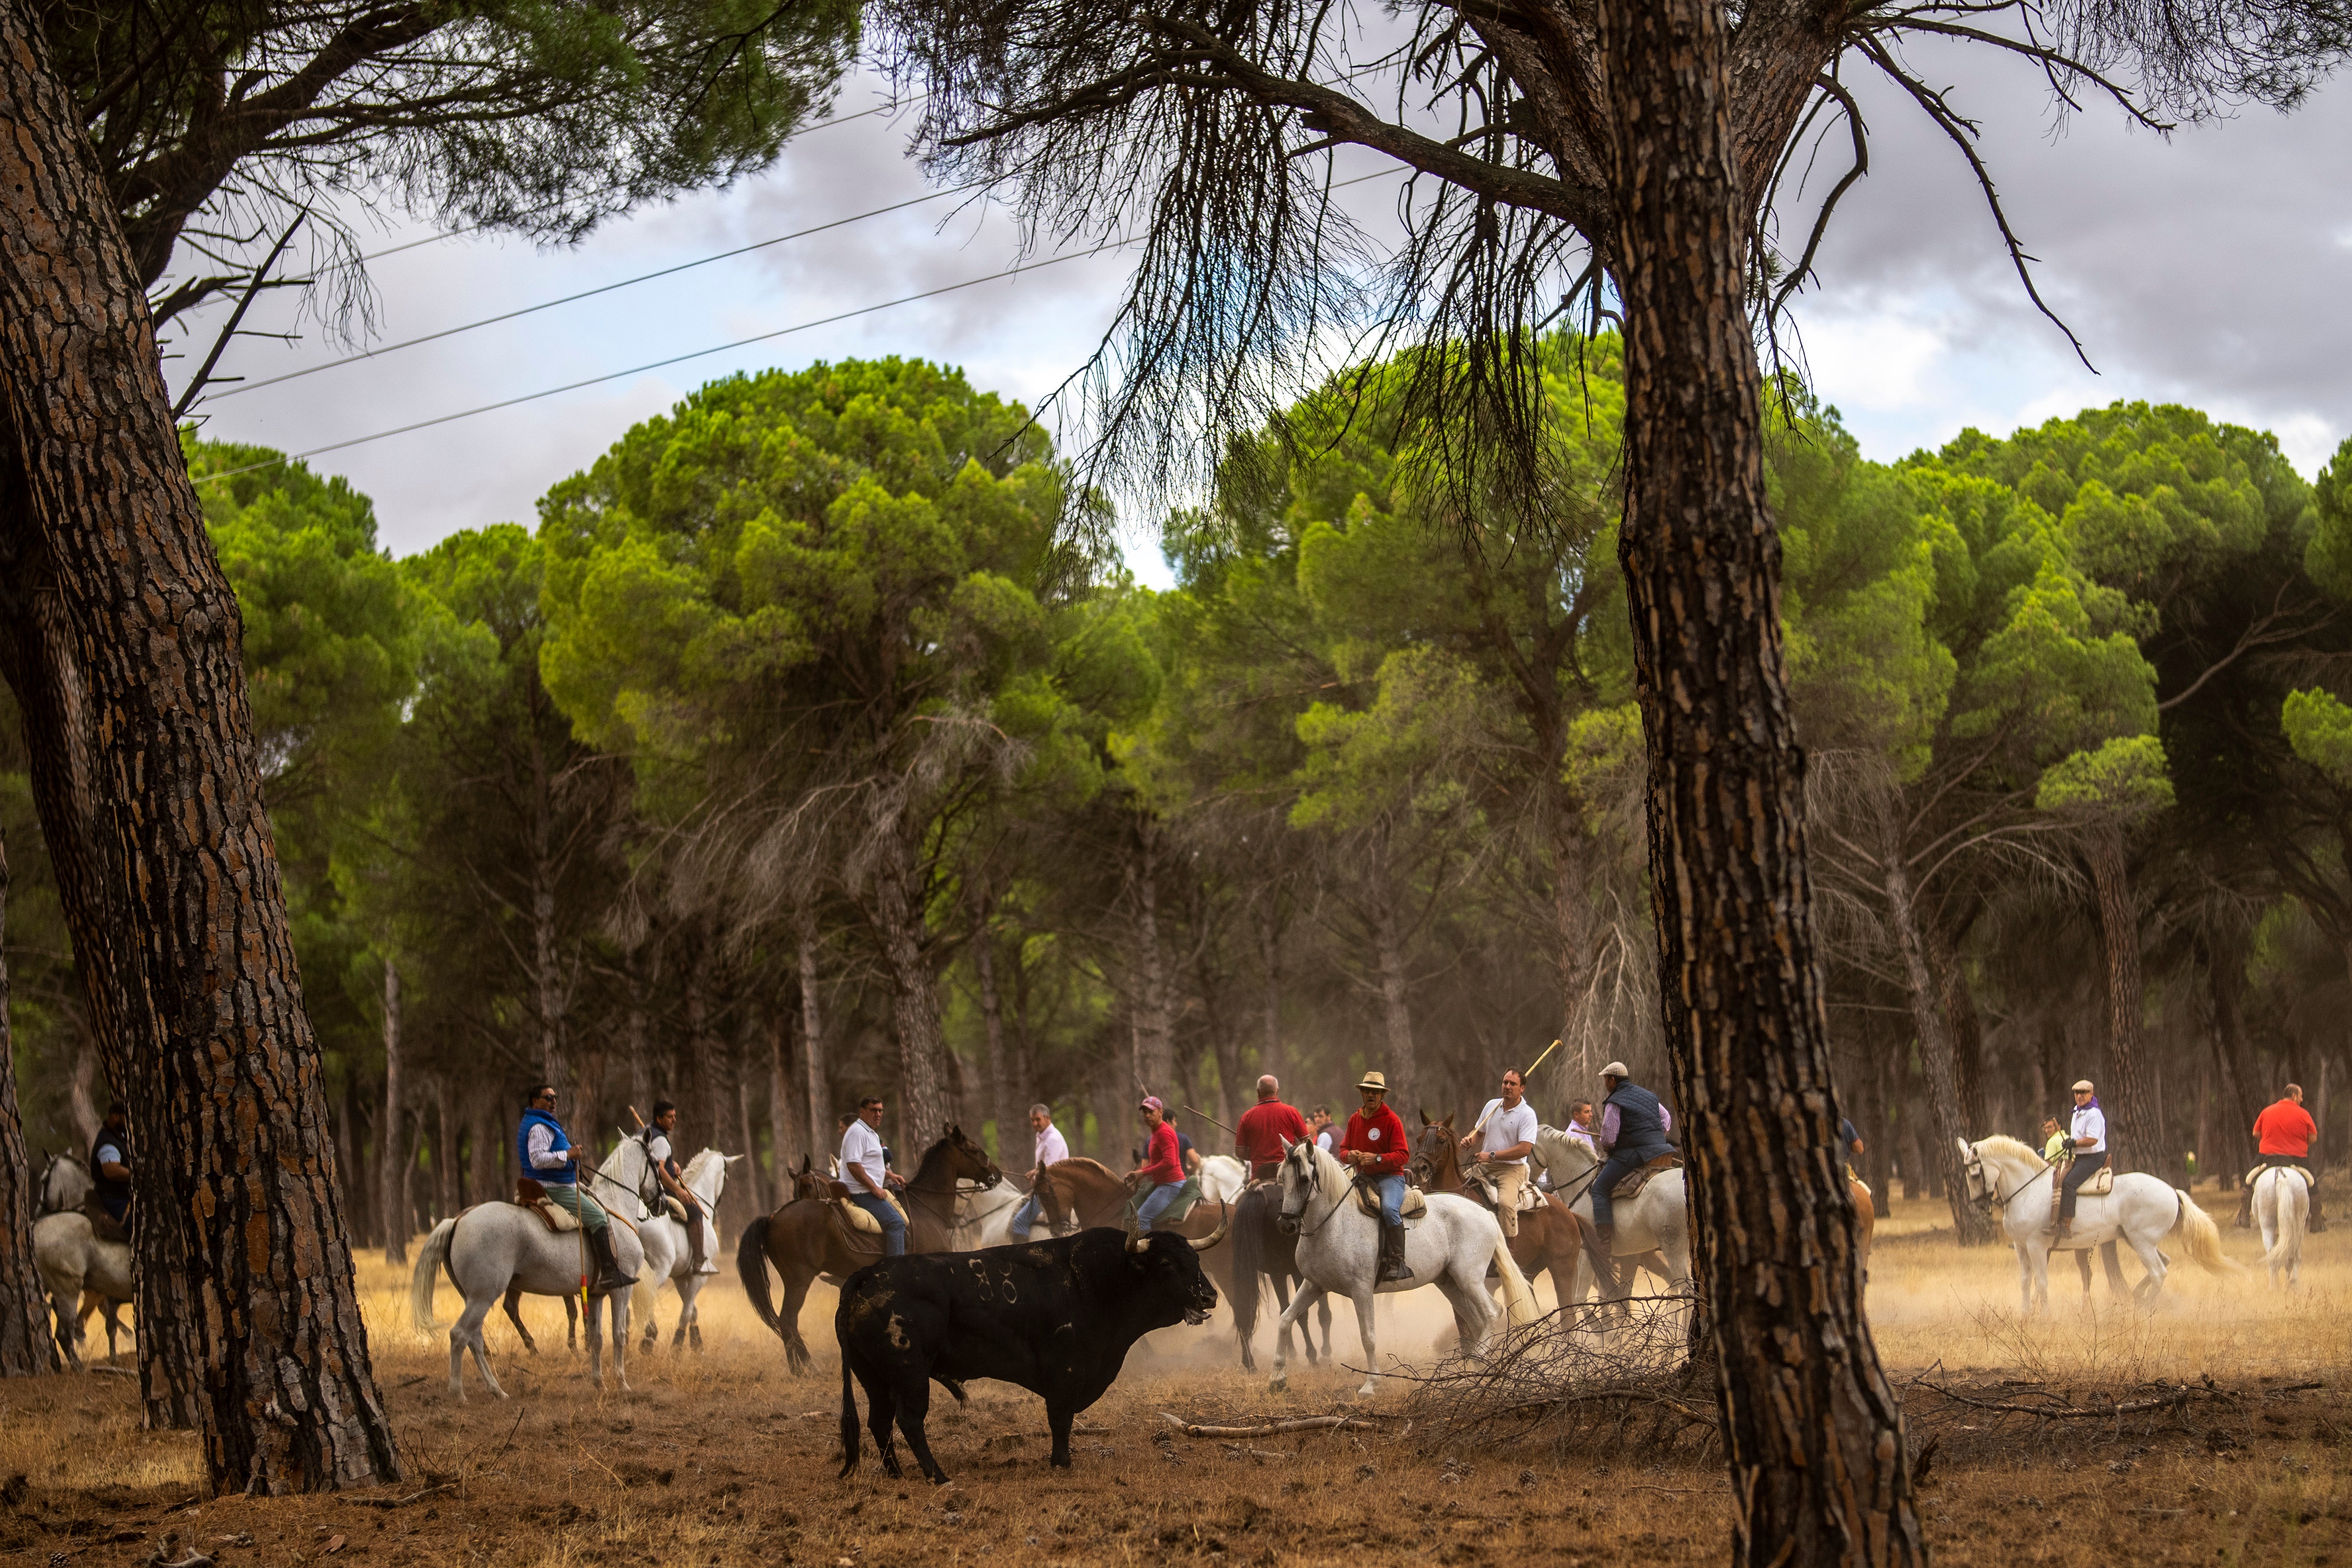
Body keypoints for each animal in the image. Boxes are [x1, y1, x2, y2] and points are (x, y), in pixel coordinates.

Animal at [836, 1219, 1229, 1483]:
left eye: (1195, 1259)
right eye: (1166, 1264)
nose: (1209, 1296)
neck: (1098, 1280)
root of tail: (867, 1276)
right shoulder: (1065, 1373)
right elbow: (1060, 1418)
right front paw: (1062, 1461)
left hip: (876, 1379)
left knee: (880, 1422)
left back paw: (896, 1474)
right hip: (911, 1375)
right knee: (909, 1420)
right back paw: (939, 1476)